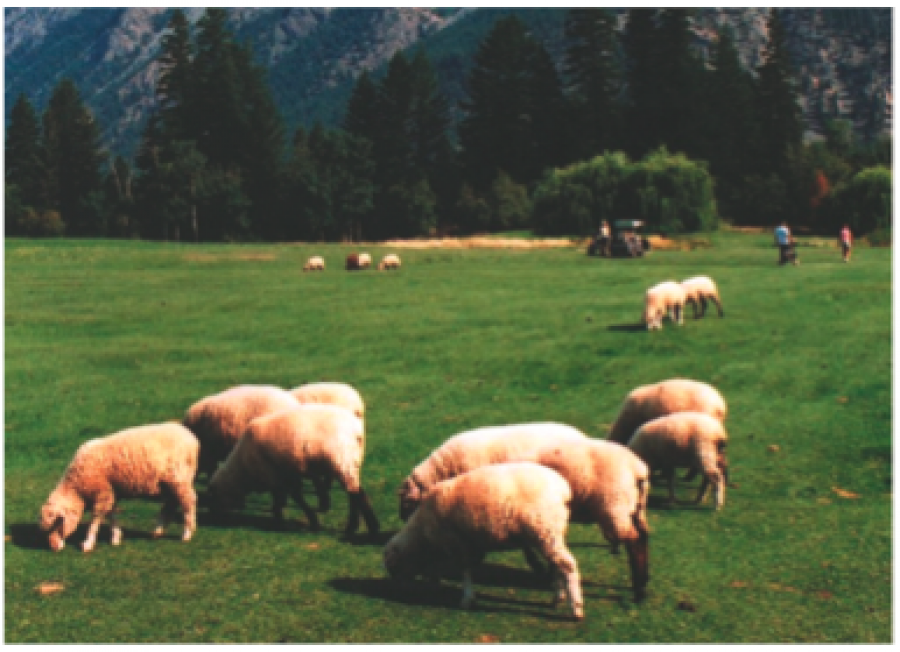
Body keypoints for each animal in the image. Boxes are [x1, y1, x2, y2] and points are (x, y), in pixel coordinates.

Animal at [39, 422, 199, 556]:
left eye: (56, 525)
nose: (53, 548)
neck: (77, 488)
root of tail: (191, 437)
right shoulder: (111, 492)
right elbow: (112, 514)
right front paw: (116, 537)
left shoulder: (102, 493)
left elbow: (95, 520)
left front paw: (88, 543)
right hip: (170, 484)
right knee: (171, 503)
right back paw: (158, 531)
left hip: (180, 479)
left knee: (188, 503)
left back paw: (187, 533)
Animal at [208, 404, 380, 536]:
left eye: (214, 497)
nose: (213, 517)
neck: (243, 469)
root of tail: (356, 429)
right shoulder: (288, 473)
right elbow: (294, 496)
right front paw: (309, 520)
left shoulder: (273, 474)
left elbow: (288, 498)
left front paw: (280, 521)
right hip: (350, 460)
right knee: (356, 493)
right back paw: (362, 527)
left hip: (340, 459)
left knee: (355, 493)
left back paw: (363, 528)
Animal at [384, 460, 588, 620]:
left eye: (393, 568)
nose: (397, 589)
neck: (421, 534)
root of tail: (562, 488)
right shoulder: (469, 546)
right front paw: (436, 584)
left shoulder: (457, 543)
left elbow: (464, 571)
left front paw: (466, 598)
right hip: (550, 533)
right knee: (557, 566)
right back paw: (558, 598)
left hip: (544, 528)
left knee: (567, 565)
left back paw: (576, 609)